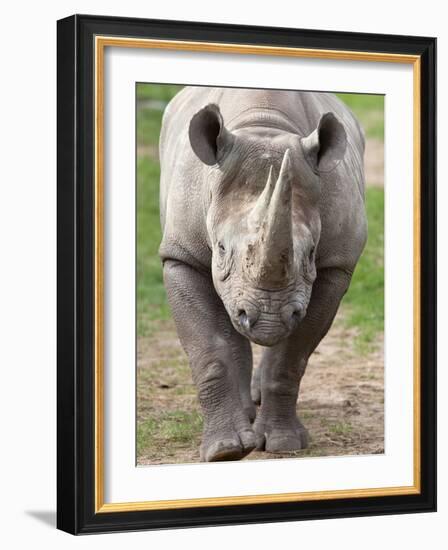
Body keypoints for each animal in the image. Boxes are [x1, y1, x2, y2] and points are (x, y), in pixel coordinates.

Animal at [159, 87, 366, 462]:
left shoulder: (336, 264)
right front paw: (224, 451)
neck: (264, 127)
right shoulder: (181, 255)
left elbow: (291, 355)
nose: (268, 319)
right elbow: (209, 349)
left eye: (310, 253)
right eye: (221, 249)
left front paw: (282, 443)